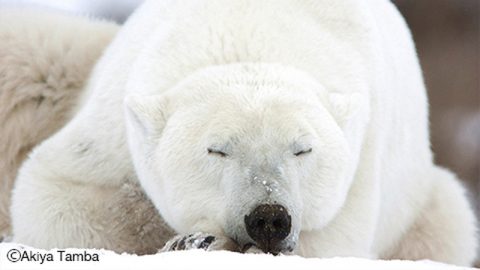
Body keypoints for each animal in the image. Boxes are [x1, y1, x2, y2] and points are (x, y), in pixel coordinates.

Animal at [7, 0, 480, 266]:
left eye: (302, 150)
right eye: (217, 150)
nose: (269, 217)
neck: (249, 33)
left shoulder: (361, 163)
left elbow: (332, 241)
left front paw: (201, 241)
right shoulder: (116, 124)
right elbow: (58, 188)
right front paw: (189, 240)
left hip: (429, 205)